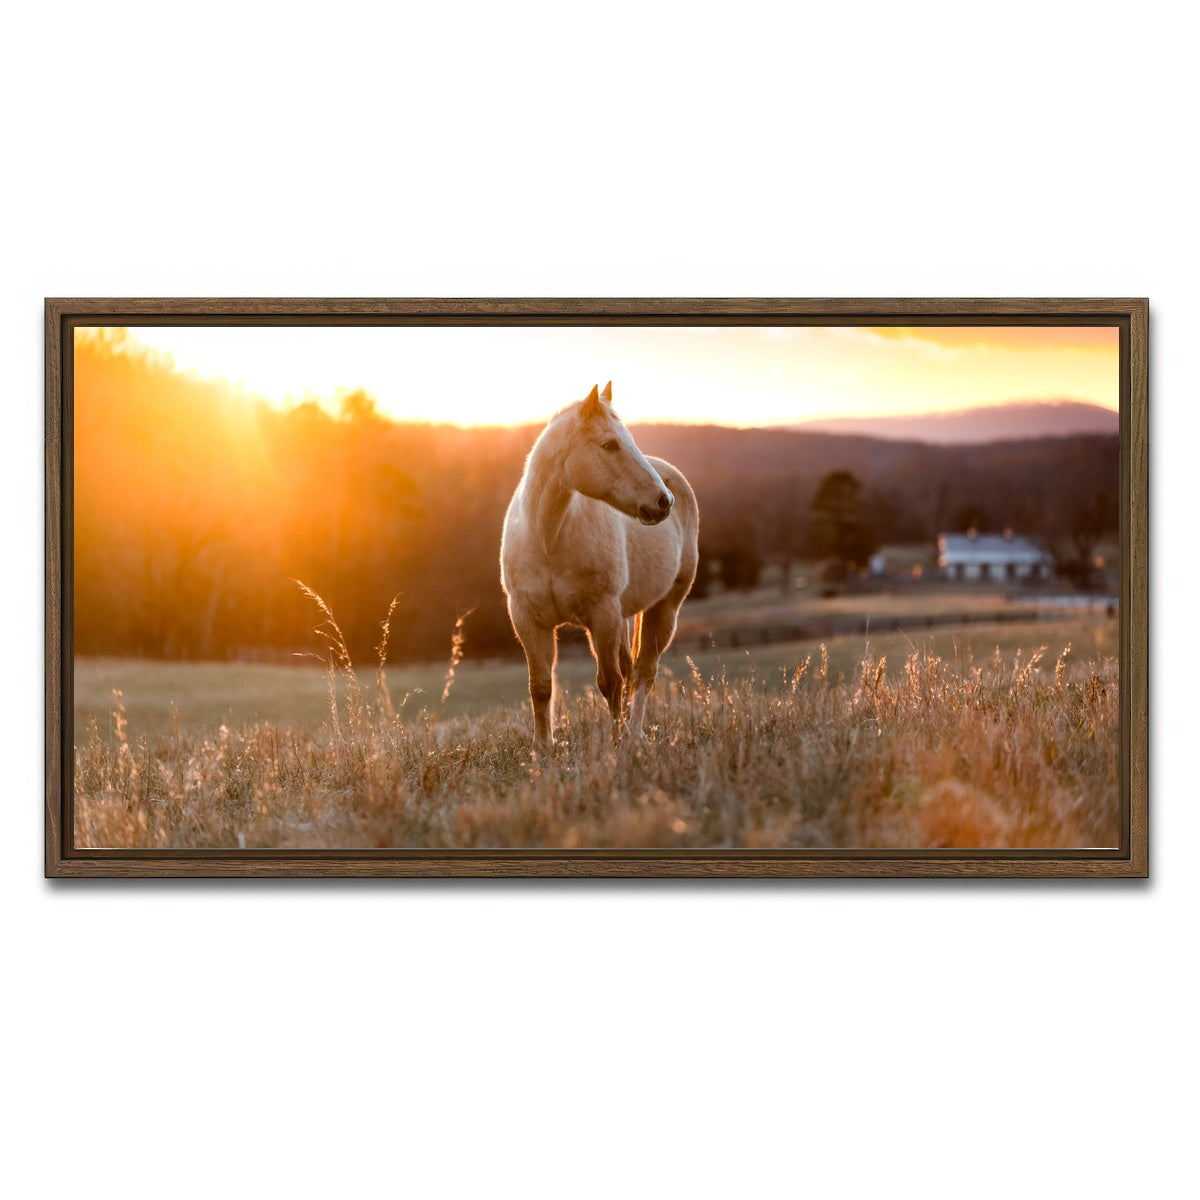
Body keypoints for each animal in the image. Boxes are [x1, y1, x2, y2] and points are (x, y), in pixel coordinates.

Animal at [500, 382, 699, 757]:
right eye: (610, 445)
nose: (663, 501)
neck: (549, 537)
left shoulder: (601, 615)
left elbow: (610, 683)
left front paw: (616, 745)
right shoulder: (527, 619)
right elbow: (541, 686)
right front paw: (542, 750)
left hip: (664, 609)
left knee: (643, 672)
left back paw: (634, 736)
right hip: (623, 616)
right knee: (631, 669)